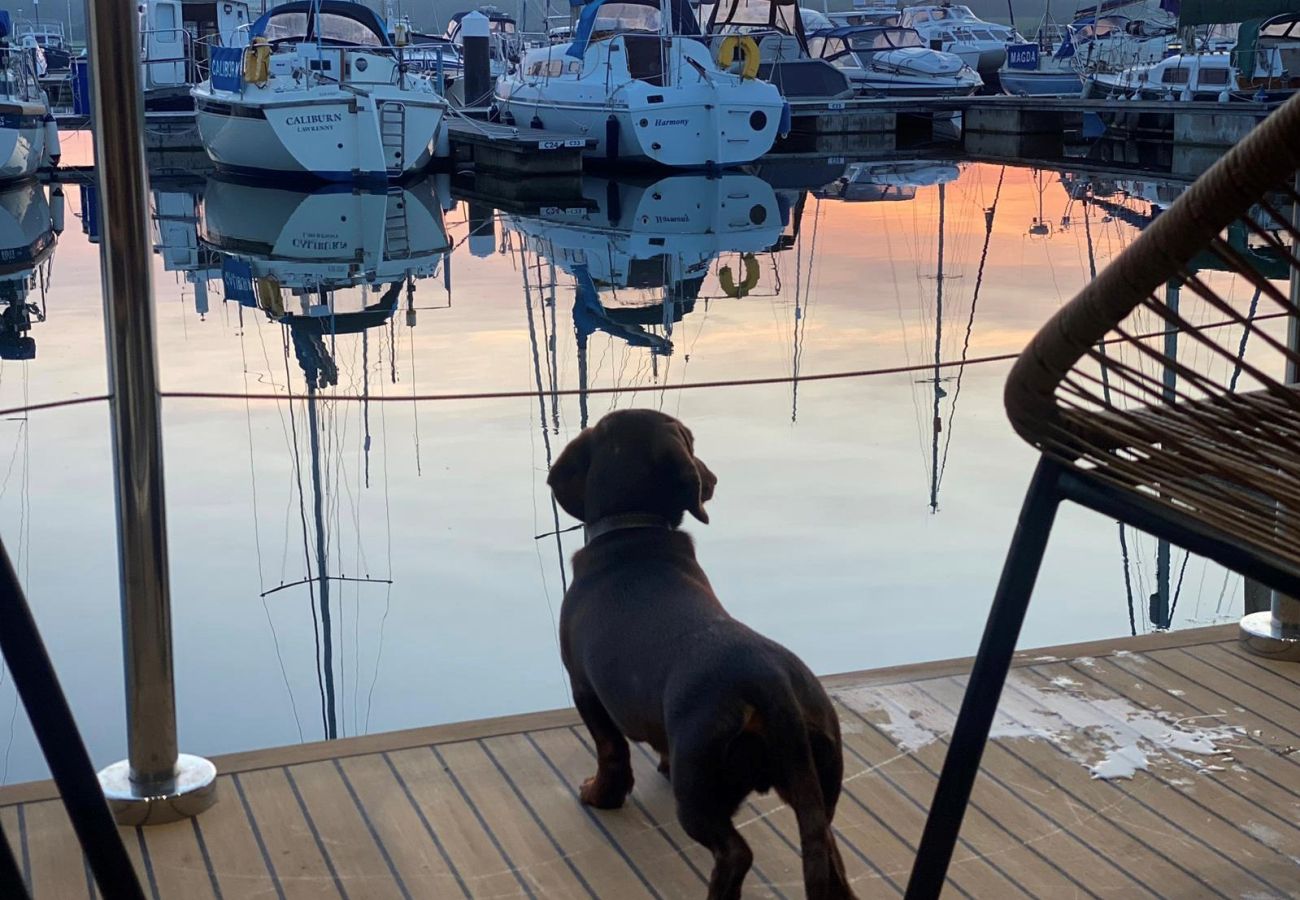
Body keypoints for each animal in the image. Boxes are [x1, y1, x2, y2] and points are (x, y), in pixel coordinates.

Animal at [551, 410, 863, 900]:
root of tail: (772, 685)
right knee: (828, 853)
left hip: (699, 787)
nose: (713, 478)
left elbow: (611, 752)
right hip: (817, 780)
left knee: (735, 853)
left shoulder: (585, 688)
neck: (634, 531)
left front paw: (600, 795)